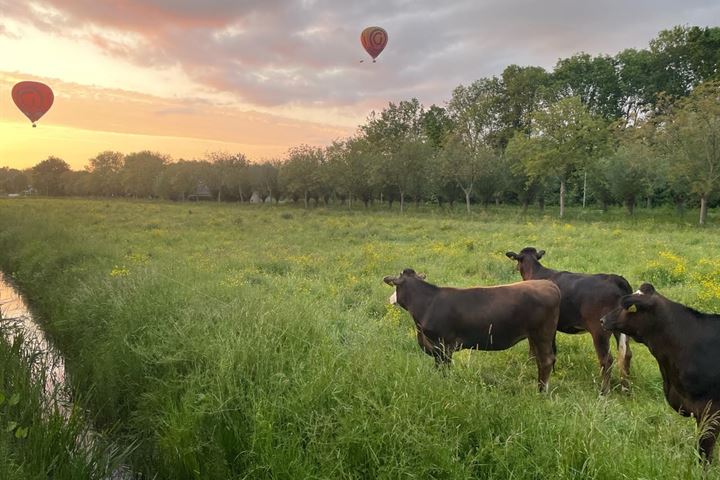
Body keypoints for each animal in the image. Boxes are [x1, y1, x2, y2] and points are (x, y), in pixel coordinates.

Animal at [382, 268, 564, 392]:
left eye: (396, 286)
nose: (390, 299)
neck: (429, 303)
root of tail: (548, 284)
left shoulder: (444, 345)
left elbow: (444, 368)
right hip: (535, 336)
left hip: (542, 334)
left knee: (546, 360)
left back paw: (541, 391)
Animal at [504, 248, 632, 394]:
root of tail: (616, 279)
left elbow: (533, 345)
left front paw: (530, 362)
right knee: (627, 354)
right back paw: (626, 388)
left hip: (599, 330)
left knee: (607, 360)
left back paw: (604, 391)